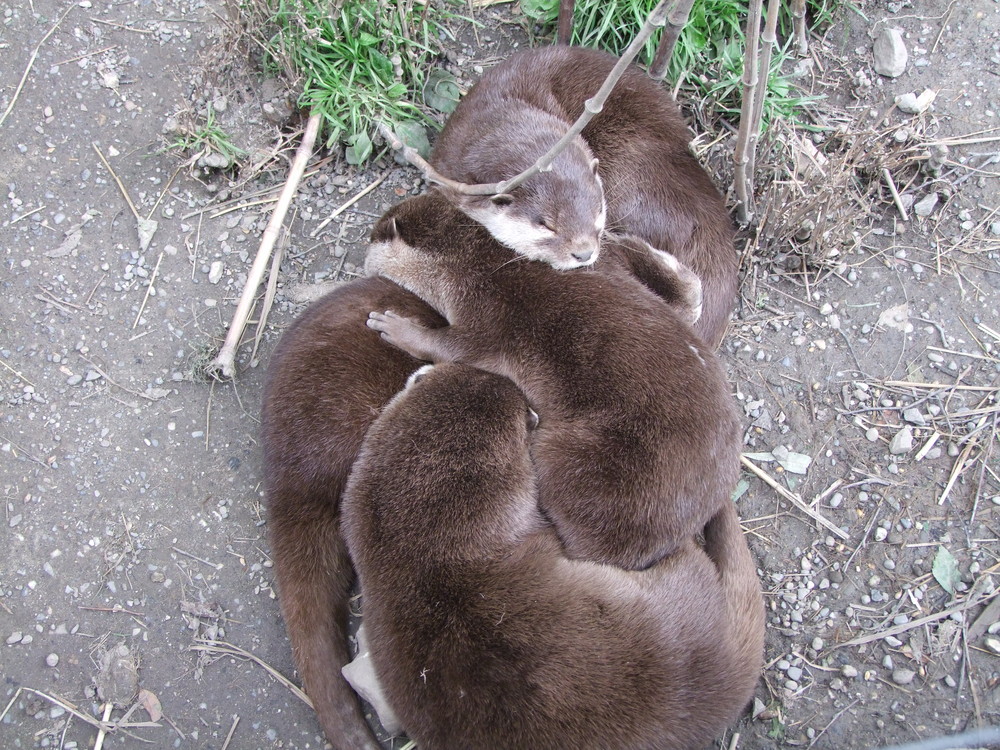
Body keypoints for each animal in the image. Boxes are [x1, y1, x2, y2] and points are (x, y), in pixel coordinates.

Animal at [364, 191, 740, 572]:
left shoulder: (486, 309)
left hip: (575, 460)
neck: (474, 257)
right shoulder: (604, 266)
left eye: (374, 237)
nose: (365, 254)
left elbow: (455, 349)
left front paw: (396, 327)